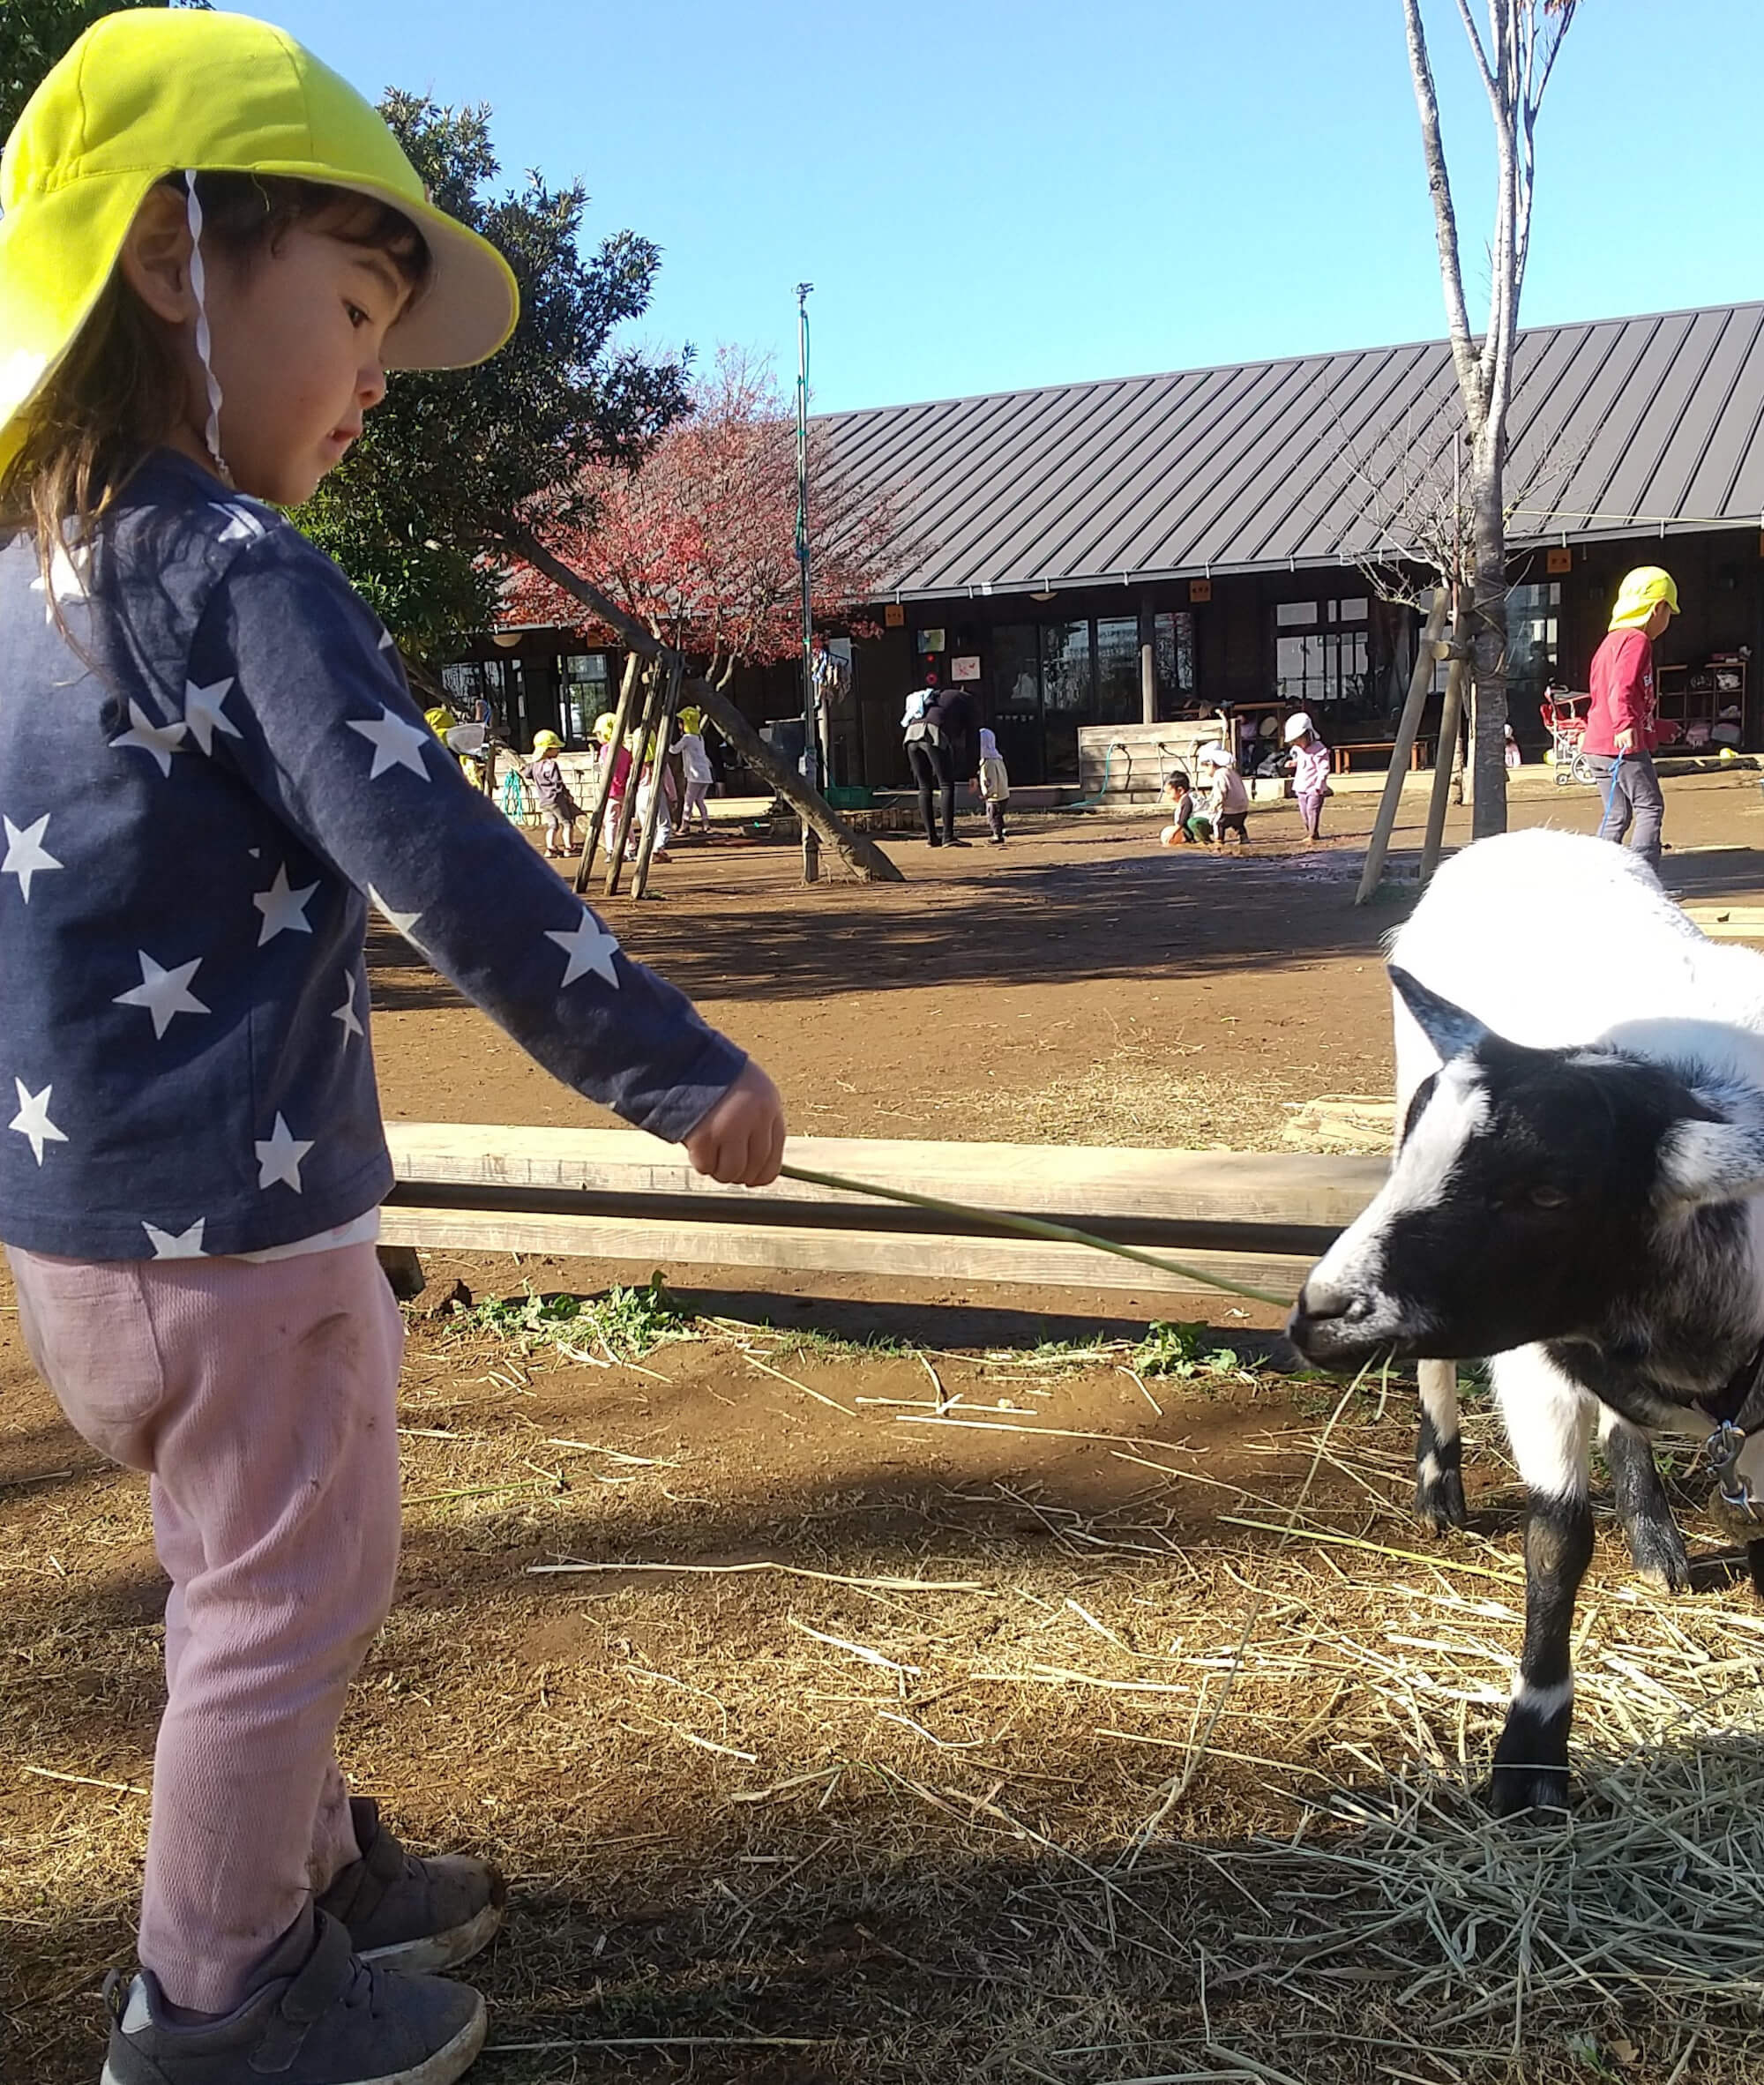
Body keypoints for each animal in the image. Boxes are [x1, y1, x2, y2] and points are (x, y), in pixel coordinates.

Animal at [1292, 826, 1764, 1809]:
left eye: (1549, 1193)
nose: (1318, 1313)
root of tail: (1526, 836)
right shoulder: (1532, 1361)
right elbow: (1556, 1544)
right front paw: (1529, 1758)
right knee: (1437, 1369)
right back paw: (1440, 1485)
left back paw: (1653, 1535)